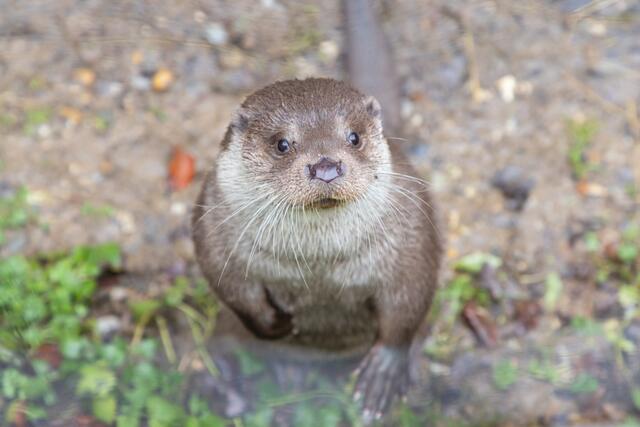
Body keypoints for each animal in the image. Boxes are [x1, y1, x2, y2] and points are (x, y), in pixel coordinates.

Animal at [192, 1, 441, 421]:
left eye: (353, 137)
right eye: (282, 144)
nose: (326, 166)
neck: (318, 262)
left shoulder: (412, 233)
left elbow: (409, 299)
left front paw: (385, 371)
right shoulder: (212, 220)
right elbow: (227, 283)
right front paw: (273, 321)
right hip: (227, 327)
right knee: (219, 346)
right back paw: (231, 387)